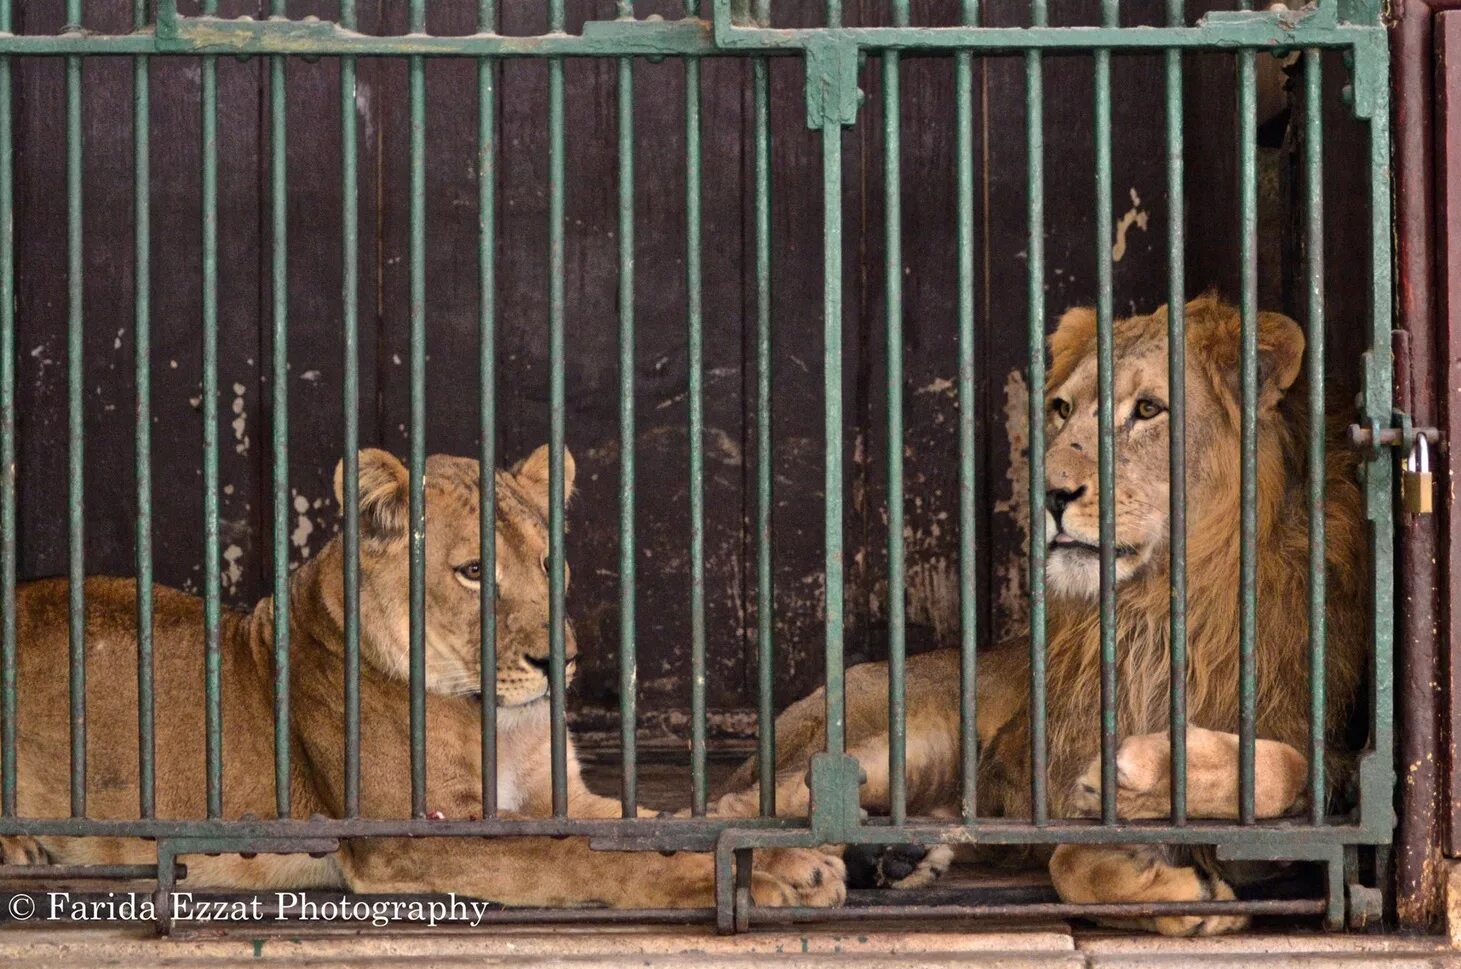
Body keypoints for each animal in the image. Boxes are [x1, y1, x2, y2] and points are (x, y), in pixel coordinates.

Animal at [0, 444, 847, 912]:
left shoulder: (561, 796)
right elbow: (579, 855)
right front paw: (769, 878)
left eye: (550, 562)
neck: (497, 717)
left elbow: (657, 826)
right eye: (473, 572)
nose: (563, 660)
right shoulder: (416, 833)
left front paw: (784, 858)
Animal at [710, 295, 1367, 935]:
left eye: (1148, 409)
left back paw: (892, 857)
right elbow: (1069, 862)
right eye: (1061, 409)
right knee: (737, 812)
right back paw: (794, 873)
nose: (1048, 493)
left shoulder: (1332, 759)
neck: (1159, 607)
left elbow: (1283, 768)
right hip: (892, 743)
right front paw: (1182, 886)